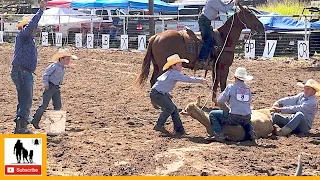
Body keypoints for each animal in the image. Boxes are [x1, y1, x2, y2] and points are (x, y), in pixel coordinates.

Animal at [136, 4, 264, 104]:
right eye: (249, 14)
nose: (262, 27)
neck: (224, 38)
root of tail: (156, 36)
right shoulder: (224, 67)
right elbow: (223, 84)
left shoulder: (216, 67)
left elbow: (215, 83)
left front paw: (215, 101)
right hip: (163, 66)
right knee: (156, 80)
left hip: (157, 65)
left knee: (153, 80)